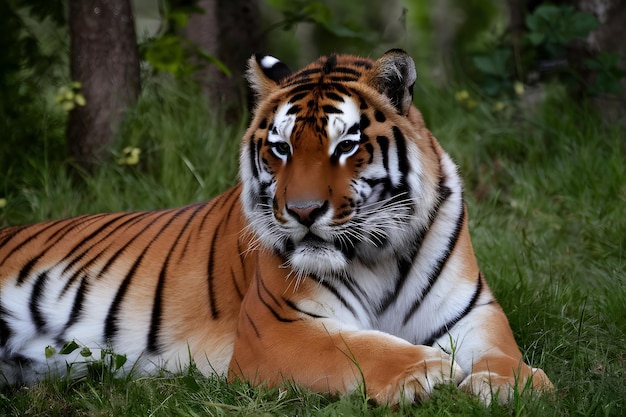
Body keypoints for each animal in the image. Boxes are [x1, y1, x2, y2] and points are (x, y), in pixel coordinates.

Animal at [0, 48, 548, 404]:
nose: (303, 212)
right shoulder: (276, 327)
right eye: (280, 148)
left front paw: (512, 383)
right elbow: (358, 348)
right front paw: (429, 369)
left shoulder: (473, 312)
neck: (379, 255)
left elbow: (501, 352)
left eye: (346, 144)